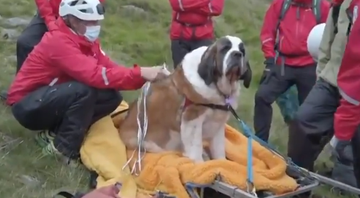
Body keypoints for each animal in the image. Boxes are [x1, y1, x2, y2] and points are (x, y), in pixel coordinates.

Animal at [119, 35, 252, 162]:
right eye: (225, 49)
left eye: (242, 51)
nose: (237, 54)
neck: (217, 87)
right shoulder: (192, 119)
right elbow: (195, 148)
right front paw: (199, 163)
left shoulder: (218, 123)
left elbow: (219, 148)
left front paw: (221, 161)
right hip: (144, 142)